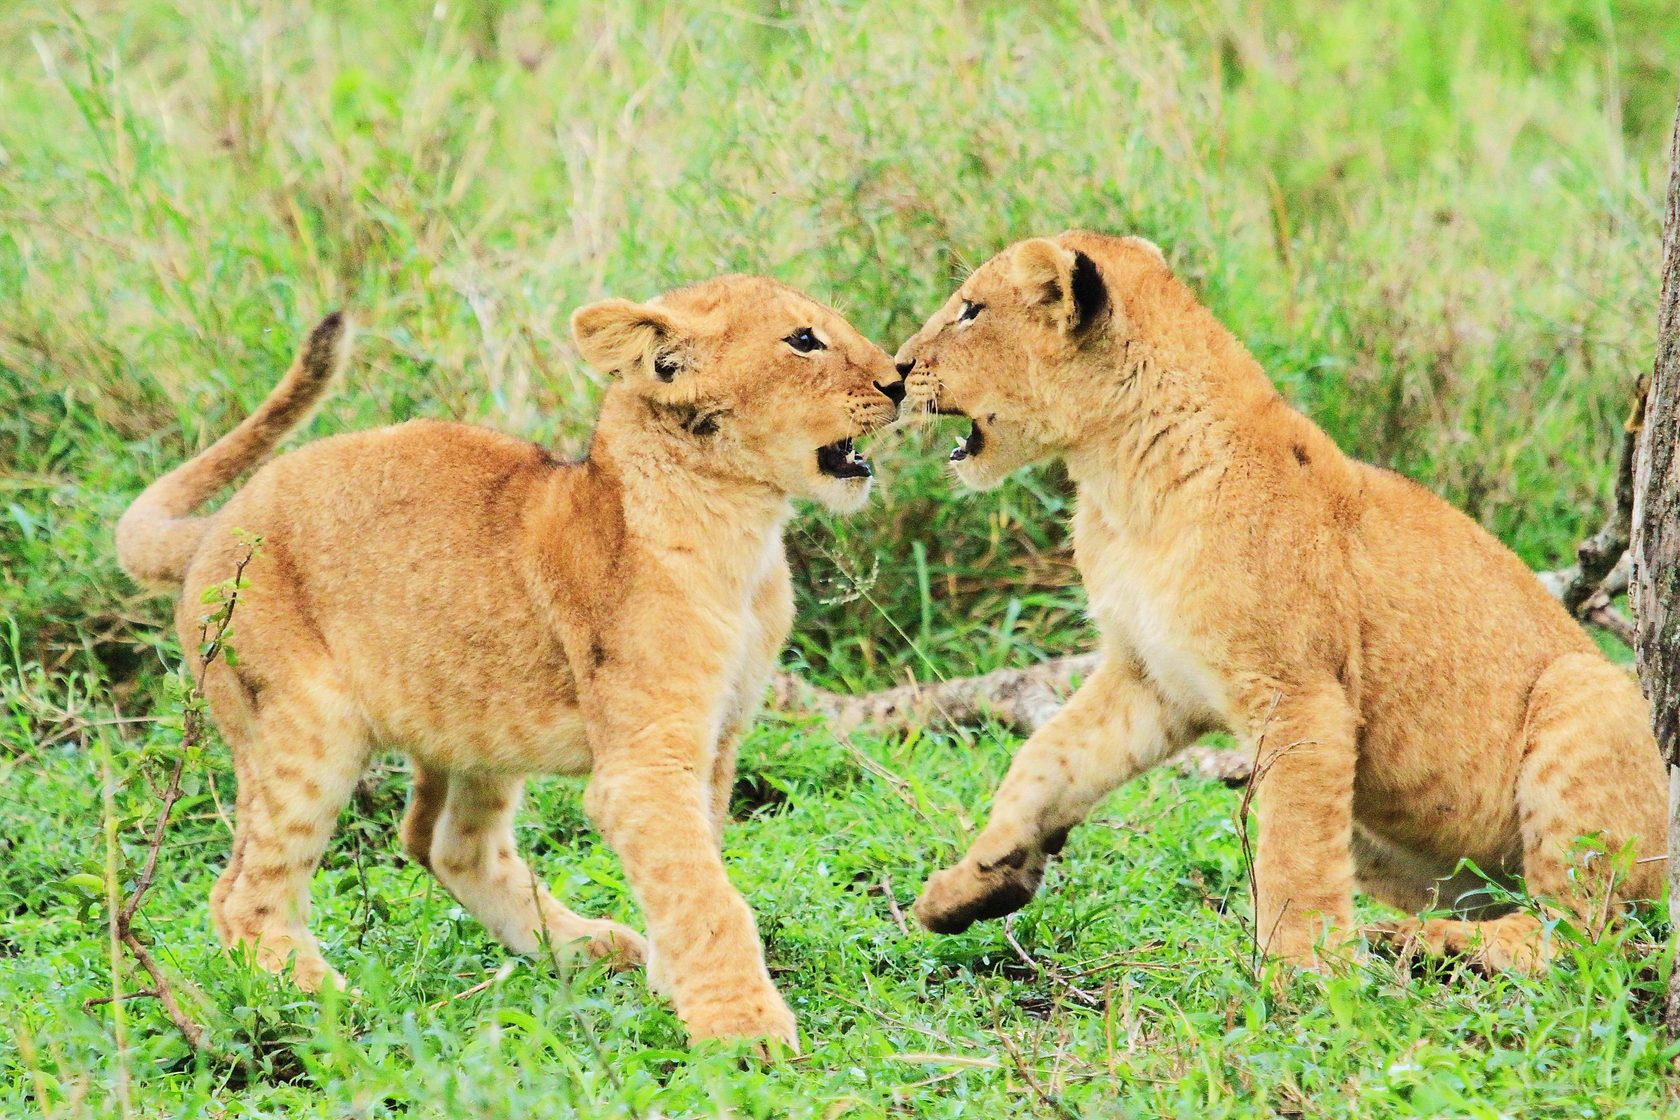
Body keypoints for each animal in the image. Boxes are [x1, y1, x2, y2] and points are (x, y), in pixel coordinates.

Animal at [116, 276, 904, 1050]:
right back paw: (326, 1003)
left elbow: (691, 864)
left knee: (444, 845)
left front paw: (672, 986)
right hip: (304, 731)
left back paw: (589, 947)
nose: (899, 380)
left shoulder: (719, 738)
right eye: (802, 340)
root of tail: (213, 529)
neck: (743, 532)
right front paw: (745, 1032)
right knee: (244, 892)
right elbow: (704, 892)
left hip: (477, 715)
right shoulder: (644, 760)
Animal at [891, 230, 1665, 974]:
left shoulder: (1301, 693)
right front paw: (970, 884)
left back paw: (1424, 944)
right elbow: (1047, 758)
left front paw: (1301, 976)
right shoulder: (1149, 677)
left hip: (1583, 693)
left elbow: (1292, 847)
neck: (1121, 485)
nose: (897, 372)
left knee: (1585, 935)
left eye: (970, 311)